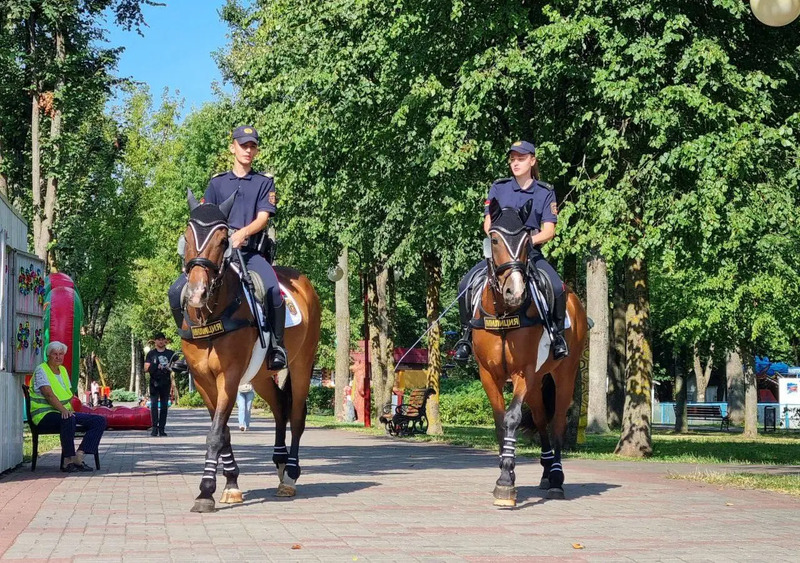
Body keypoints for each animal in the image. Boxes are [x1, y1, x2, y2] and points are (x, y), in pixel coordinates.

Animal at [180, 192, 320, 512]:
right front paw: (231, 484)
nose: (196, 293)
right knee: (280, 406)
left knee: (296, 413)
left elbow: (215, 433)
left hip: (302, 365)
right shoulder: (204, 380)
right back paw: (279, 462)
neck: (214, 313)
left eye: (223, 240)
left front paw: (206, 490)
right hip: (259, 375)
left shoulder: (229, 377)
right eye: (187, 236)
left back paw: (290, 473)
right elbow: (223, 431)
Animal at [472, 200, 592, 508]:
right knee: (540, 419)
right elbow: (500, 423)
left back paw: (557, 478)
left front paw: (505, 481)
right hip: (538, 382)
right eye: (494, 239)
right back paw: (547, 472)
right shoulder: (488, 373)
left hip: (564, 374)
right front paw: (506, 471)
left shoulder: (522, 372)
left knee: (558, 421)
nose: (514, 291)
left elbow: (513, 418)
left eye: (527, 241)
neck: (504, 313)